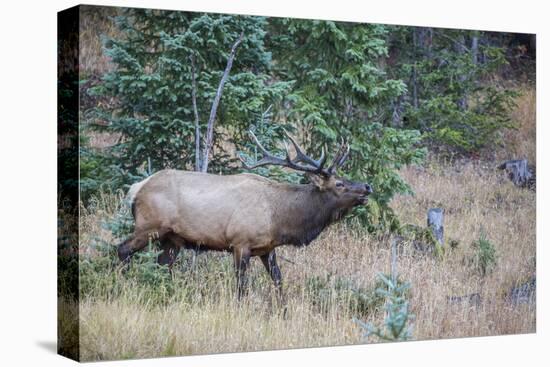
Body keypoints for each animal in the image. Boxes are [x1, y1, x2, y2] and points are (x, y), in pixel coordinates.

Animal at [118, 132, 374, 300]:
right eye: (339, 184)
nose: (367, 186)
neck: (279, 218)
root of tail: (136, 188)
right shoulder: (240, 243)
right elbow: (242, 286)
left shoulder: (267, 248)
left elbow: (278, 280)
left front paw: (283, 311)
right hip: (149, 226)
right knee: (123, 249)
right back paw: (121, 285)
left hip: (173, 239)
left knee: (162, 265)